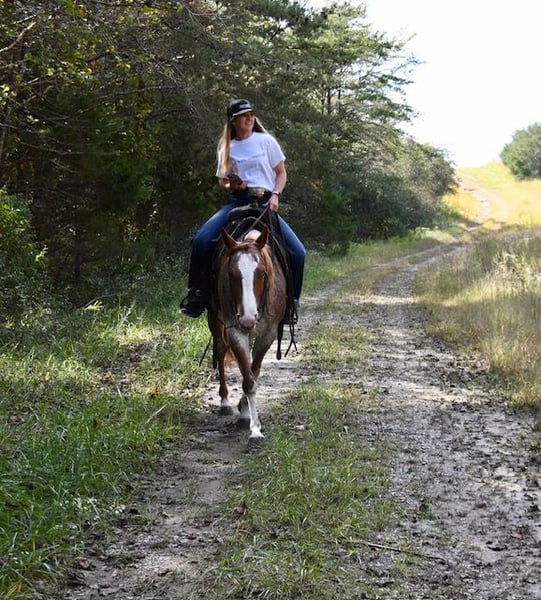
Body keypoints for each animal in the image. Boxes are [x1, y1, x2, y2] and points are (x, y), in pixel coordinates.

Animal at [207, 214, 287, 445]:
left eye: (262, 273)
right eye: (231, 273)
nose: (248, 318)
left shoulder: (267, 335)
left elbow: (253, 371)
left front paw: (246, 414)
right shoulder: (235, 332)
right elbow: (248, 379)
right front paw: (253, 428)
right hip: (216, 322)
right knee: (220, 351)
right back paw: (225, 402)